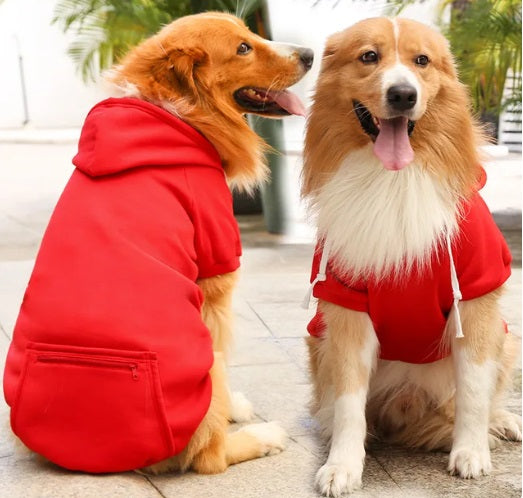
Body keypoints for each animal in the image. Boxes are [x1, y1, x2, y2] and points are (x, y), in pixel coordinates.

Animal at [4, 12, 314, 474]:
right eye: (243, 48)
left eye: (250, 33)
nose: (310, 53)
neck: (181, 116)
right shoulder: (216, 274)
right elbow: (222, 359)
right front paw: (232, 409)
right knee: (209, 456)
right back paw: (262, 435)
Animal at [300, 17, 520, 496]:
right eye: (369, 56)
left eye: (422, 61)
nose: (403, 95)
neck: (393, 181)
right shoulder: (346, 307)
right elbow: (348, 403)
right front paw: (343, 464)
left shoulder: (476, 298)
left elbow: (473, 392)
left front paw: (471, 451)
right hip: (319, 340)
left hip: (505, 335)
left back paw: (502, 422)